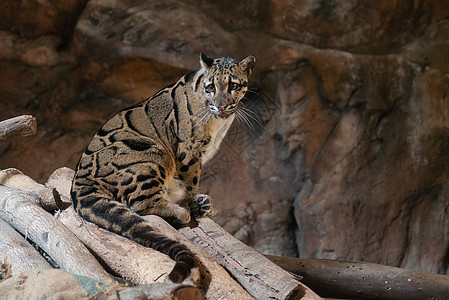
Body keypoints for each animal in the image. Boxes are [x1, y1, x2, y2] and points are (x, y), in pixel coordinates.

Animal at [70, 52, 256, 282]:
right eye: (211, 87)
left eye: (233, 86)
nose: (221, 106)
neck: (218, 121)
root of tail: (78, 182)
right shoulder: (188, 149)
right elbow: (190, 181)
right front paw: (190, 204)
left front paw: (199, 203)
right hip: (154, 152)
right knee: (140, 203)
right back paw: (181, 212)